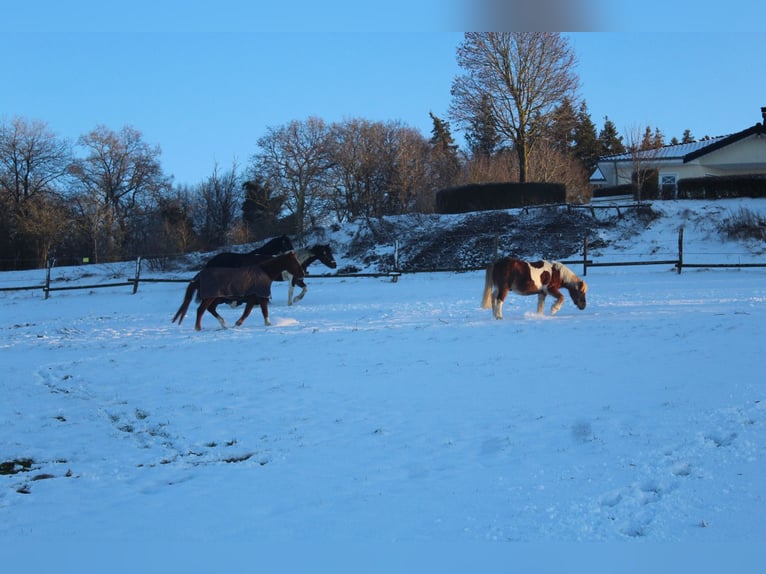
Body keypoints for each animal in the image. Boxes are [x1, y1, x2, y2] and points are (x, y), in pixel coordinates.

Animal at [171, 252, 305, 330]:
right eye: (294, 262)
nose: (303, 273)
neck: (264, 272)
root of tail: (199, 276)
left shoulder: (254, 298)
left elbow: (253, 311)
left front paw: (238, 324)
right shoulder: (259, 297)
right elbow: (256, 311)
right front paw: (238, 324)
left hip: (217, 298)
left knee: (210, 309)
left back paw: (223, 324)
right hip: (211, 297)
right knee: (201, 310)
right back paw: (198, 328)